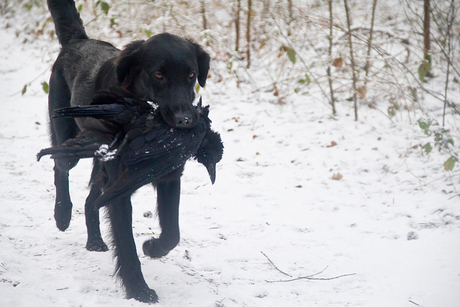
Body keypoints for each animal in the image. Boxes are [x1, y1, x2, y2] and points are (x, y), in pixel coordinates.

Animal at [45, 0, 211, 304]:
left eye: (191, 75)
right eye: (158, 75)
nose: (185, 120)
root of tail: (79, 41)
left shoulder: (169, 175)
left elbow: (172, 232)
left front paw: (153, 248)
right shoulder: (120, 189)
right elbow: (125, 243)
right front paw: (138, 289)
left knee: (92, 199)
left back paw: (95, 240)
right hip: (68, 137)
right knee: (59, 164)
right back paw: (62, 213)